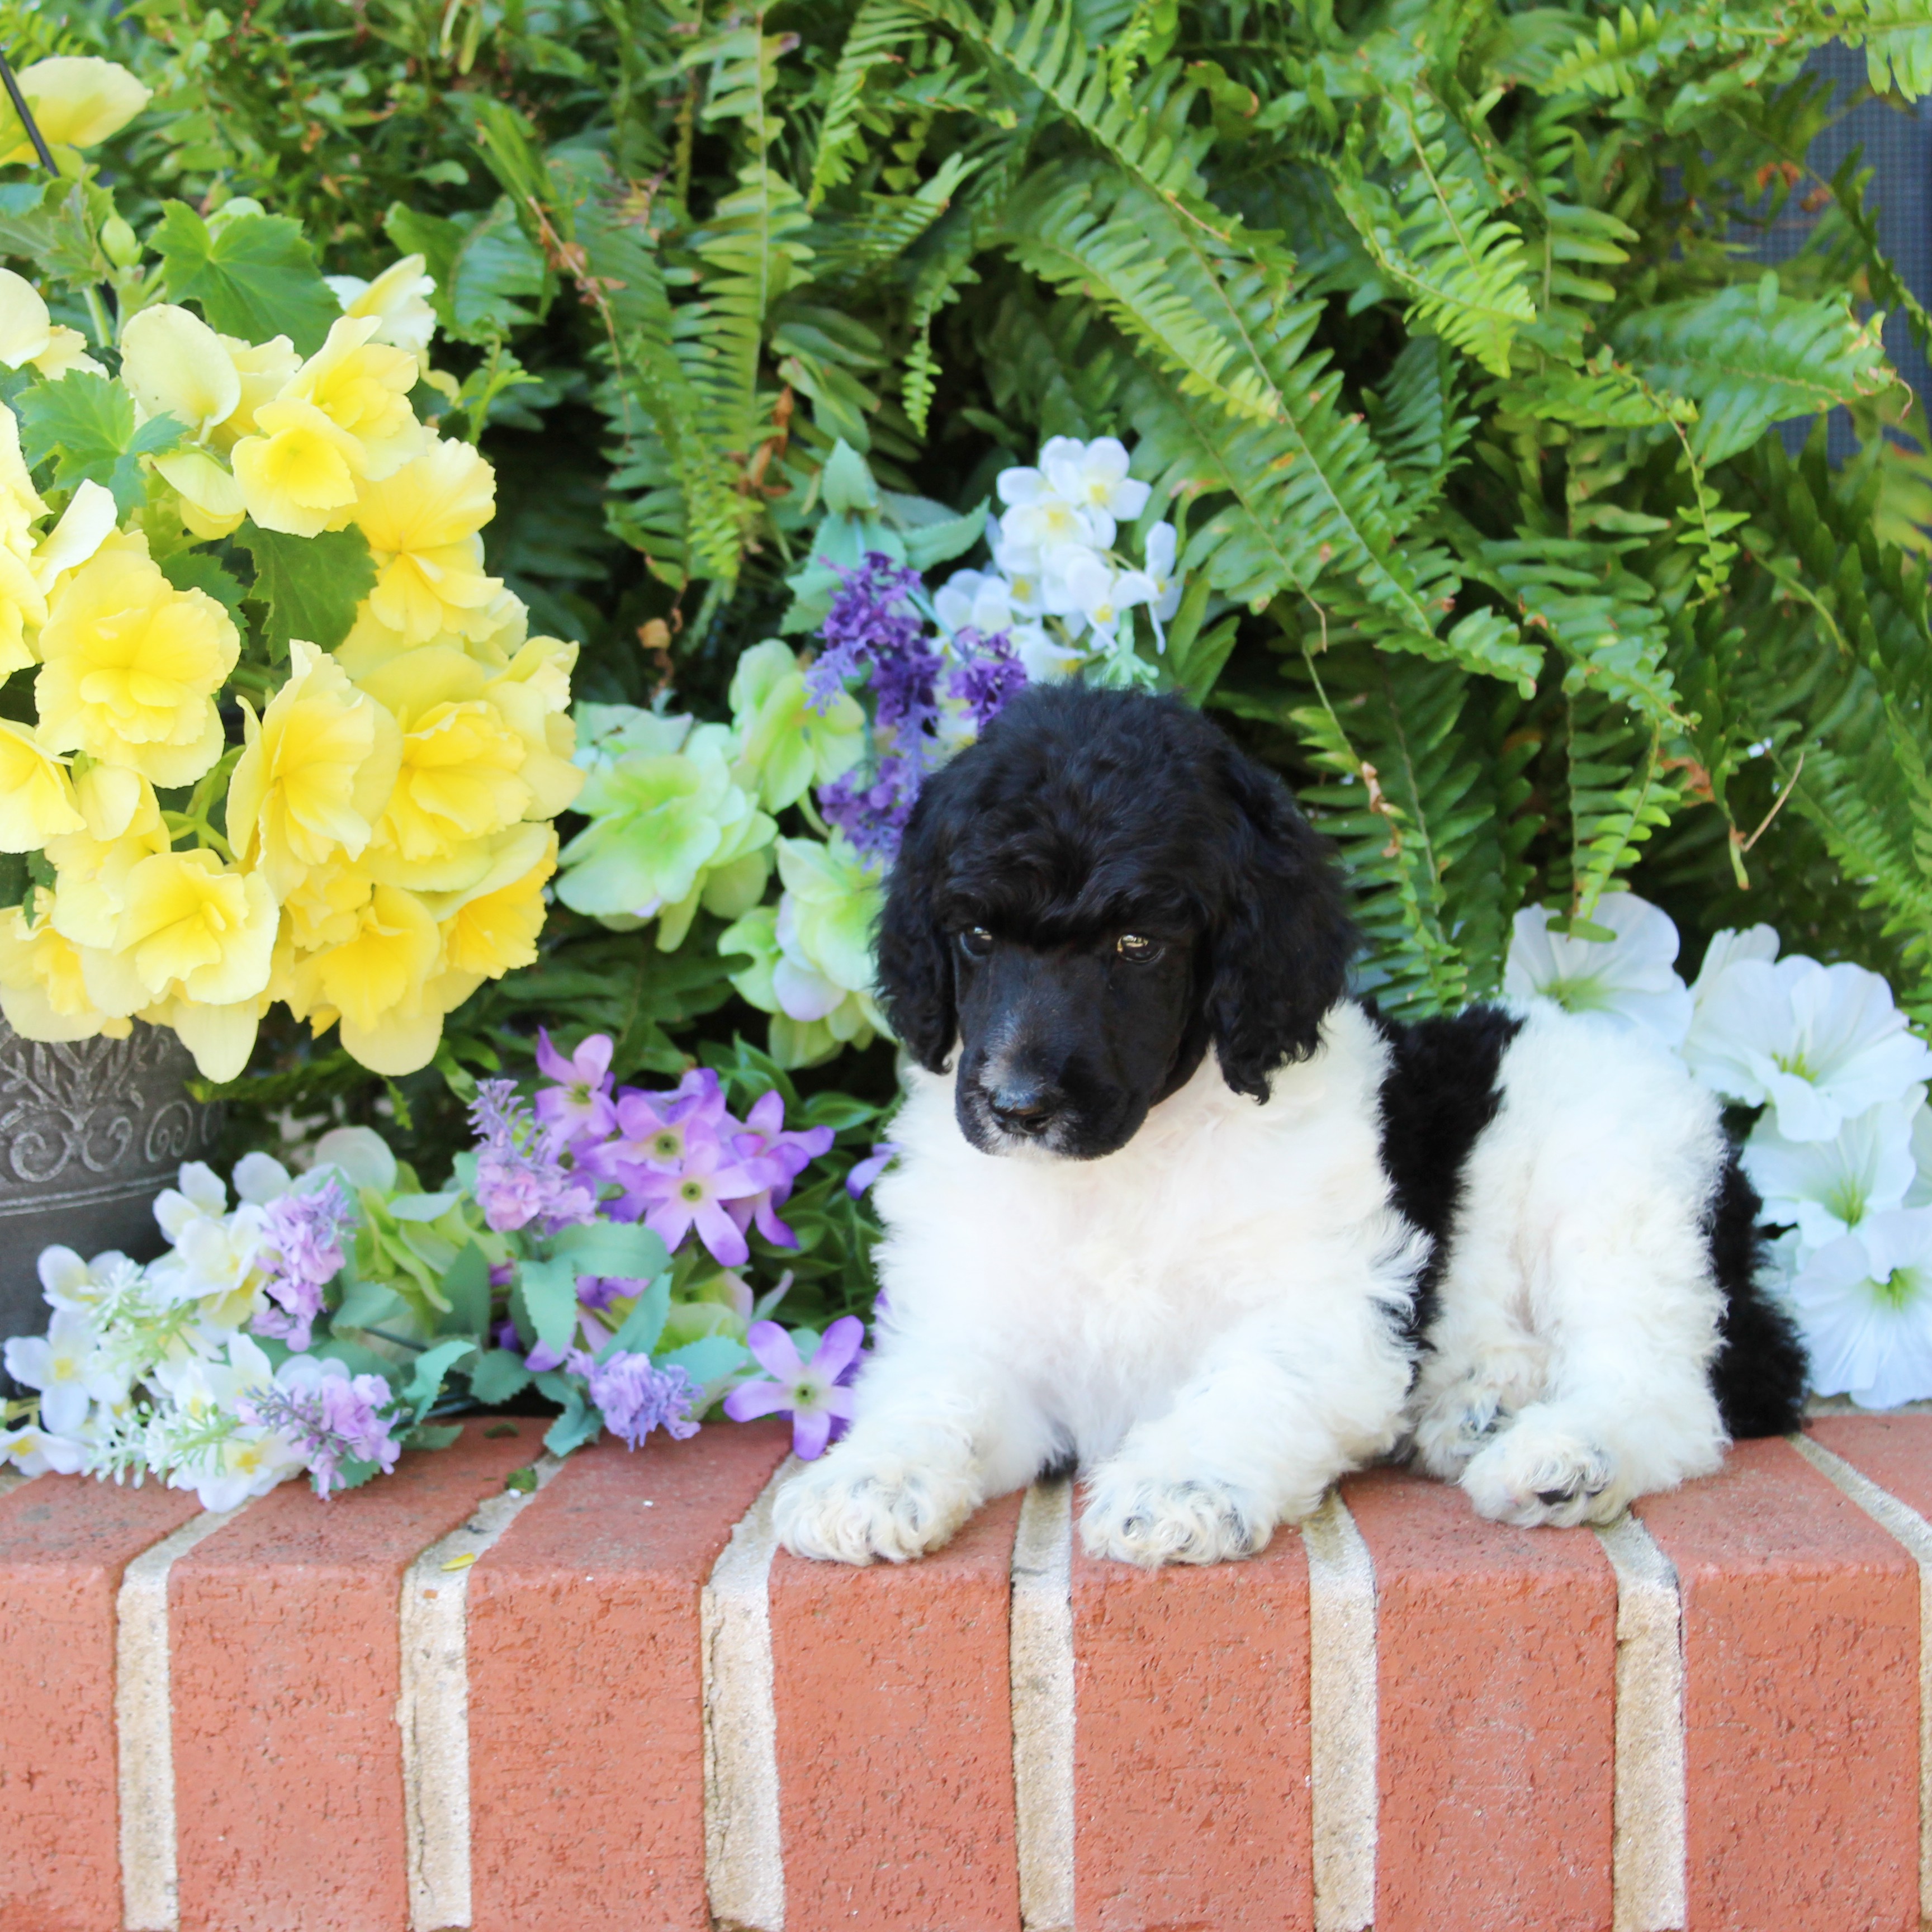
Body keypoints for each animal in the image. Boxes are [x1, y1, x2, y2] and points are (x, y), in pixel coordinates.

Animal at [773, 688, 1808, 1561]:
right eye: (977, 937)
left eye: (1138, 944)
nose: (1018, 1106)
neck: (1124, 1173)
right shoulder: (978, 1325)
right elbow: (935, 1392)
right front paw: (867, 1480)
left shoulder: (1326, 1312)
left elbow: (1249, 1387)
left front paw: (1175, 1488)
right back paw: (1476, 1403)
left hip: (1619, 1194)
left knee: (1664, 1388)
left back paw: (1559, 1457)